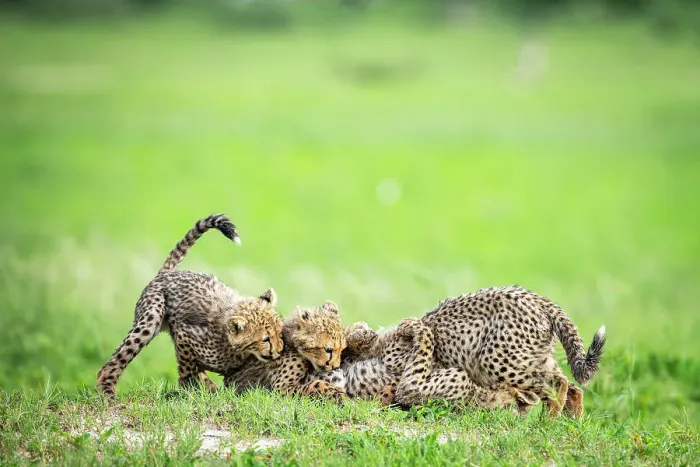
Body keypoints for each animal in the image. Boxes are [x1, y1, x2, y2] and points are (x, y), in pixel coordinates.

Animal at [96, 214, 284, 398]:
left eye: (279, 333)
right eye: (265, 339)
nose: (280, 351)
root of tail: (167, 273)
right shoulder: (183, 334)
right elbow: (187, 368)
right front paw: (189, 389)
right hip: (151, 317)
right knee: (113, 363)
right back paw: (108, 392)